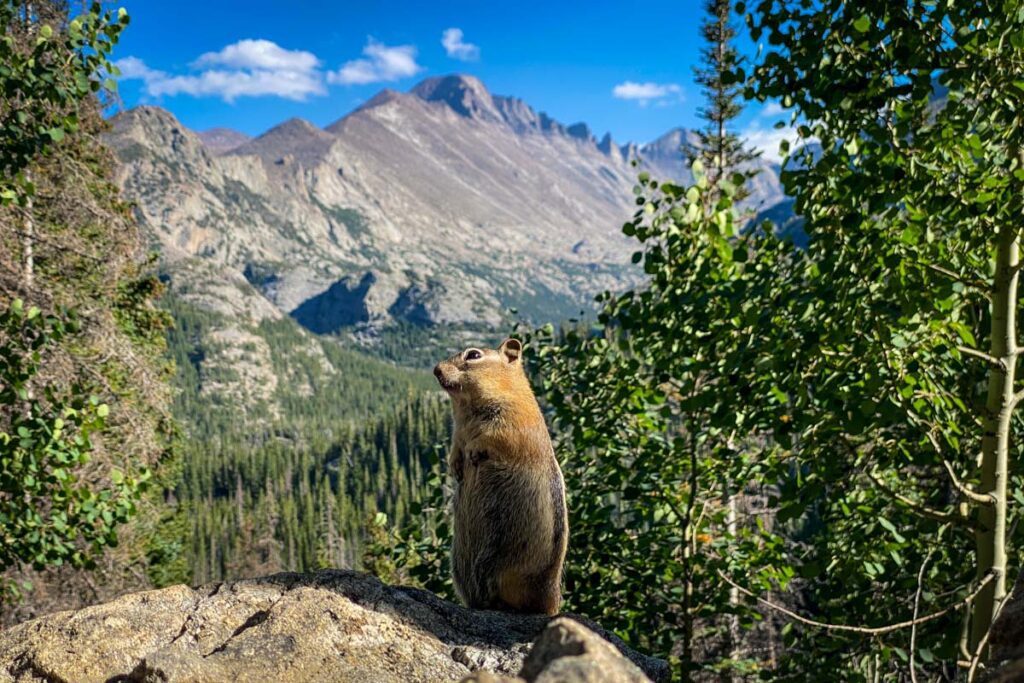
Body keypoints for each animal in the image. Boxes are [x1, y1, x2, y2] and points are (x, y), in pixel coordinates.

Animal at [432, 339, 569, 618]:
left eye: (473, 355)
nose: (436, 369)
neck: (468, 411)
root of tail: (552, 603)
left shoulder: (513, 423)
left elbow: (493, 438)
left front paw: (474, 452)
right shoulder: (457, 431)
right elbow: (456, 446)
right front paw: (456, 466)